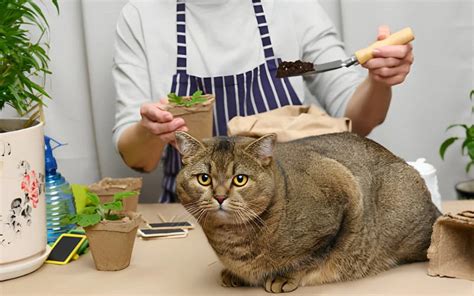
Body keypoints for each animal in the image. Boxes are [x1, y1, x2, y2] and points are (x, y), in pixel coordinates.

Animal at [174, 132, 440, 294]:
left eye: (240, 179)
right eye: (204, 178)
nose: (219, 197)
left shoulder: (344, 191)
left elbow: (313, 256)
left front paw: (285, 276)